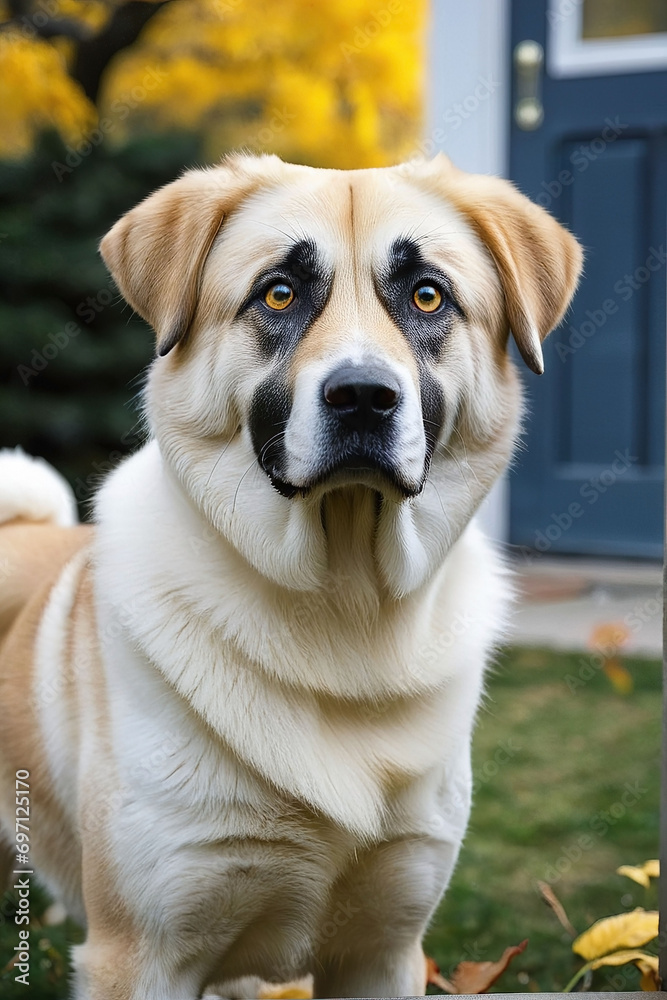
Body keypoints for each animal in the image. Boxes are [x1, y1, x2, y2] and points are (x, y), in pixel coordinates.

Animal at [0, 152, 580, 996]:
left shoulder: (384, 949)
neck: (343, 608)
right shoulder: (141, 955)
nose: (363, 397)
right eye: (278, 293)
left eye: (426, 294)